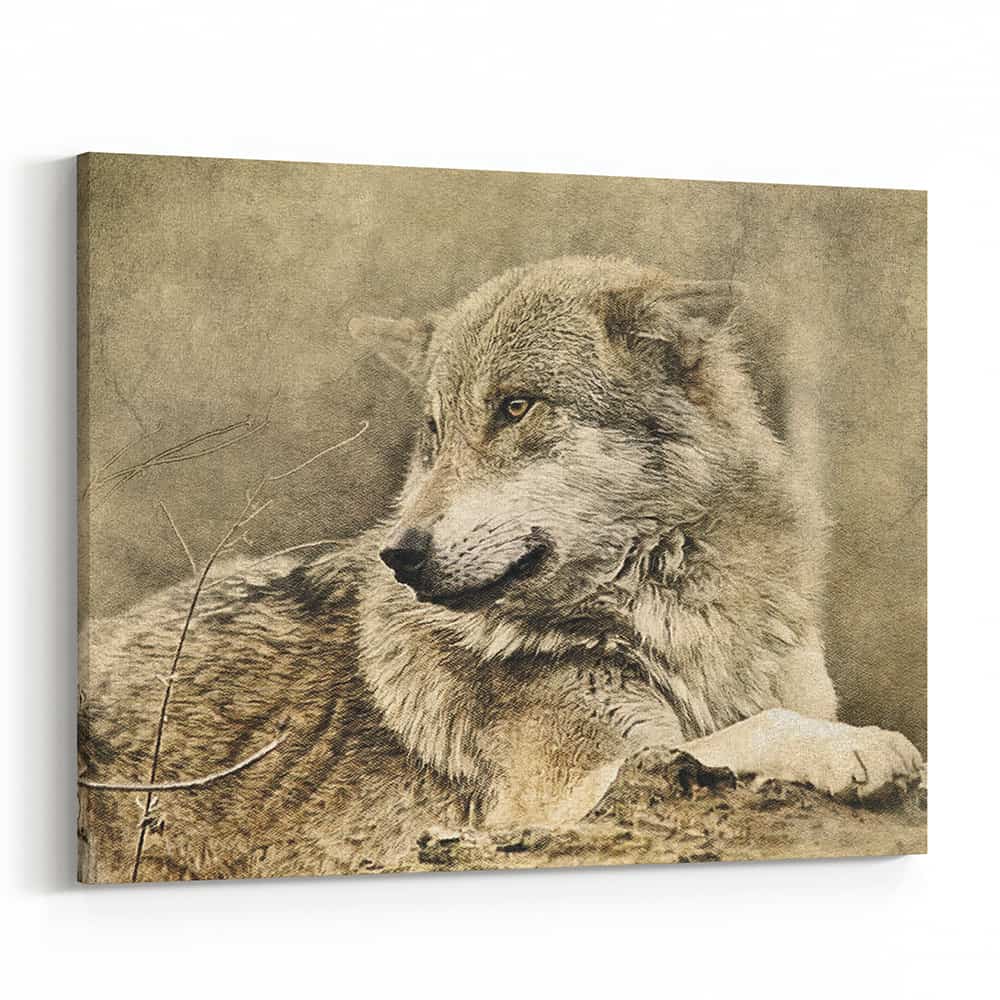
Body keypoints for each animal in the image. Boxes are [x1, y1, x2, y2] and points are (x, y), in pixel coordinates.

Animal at [78, 256, 922, 882]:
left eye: (515, 407)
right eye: (434, 431)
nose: (400, 553)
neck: (680, 618)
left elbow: (769, 715)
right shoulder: (568, 793)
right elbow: (757, 728)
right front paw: (863, 746)